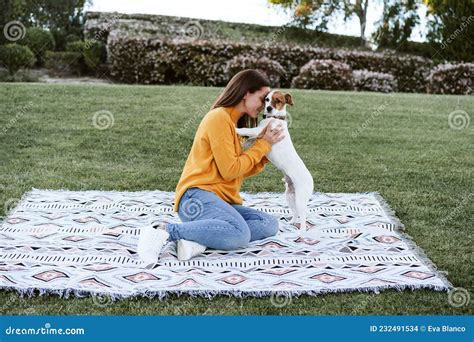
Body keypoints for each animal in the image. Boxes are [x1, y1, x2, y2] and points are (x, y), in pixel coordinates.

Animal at [234, 90, 314, 230]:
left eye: (278, 101)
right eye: (266, 99)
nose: (269, 108)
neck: (275, 118)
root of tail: (311, 181)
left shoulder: (258, 131)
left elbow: (246, 130)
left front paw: (236, 129)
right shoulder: (258, 136)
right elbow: (250, 141)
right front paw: (243, 144)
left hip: (300, 199)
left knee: (303, 216)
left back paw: (302, 231)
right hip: (290, 196)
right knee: (296, 213)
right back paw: (292, 222)